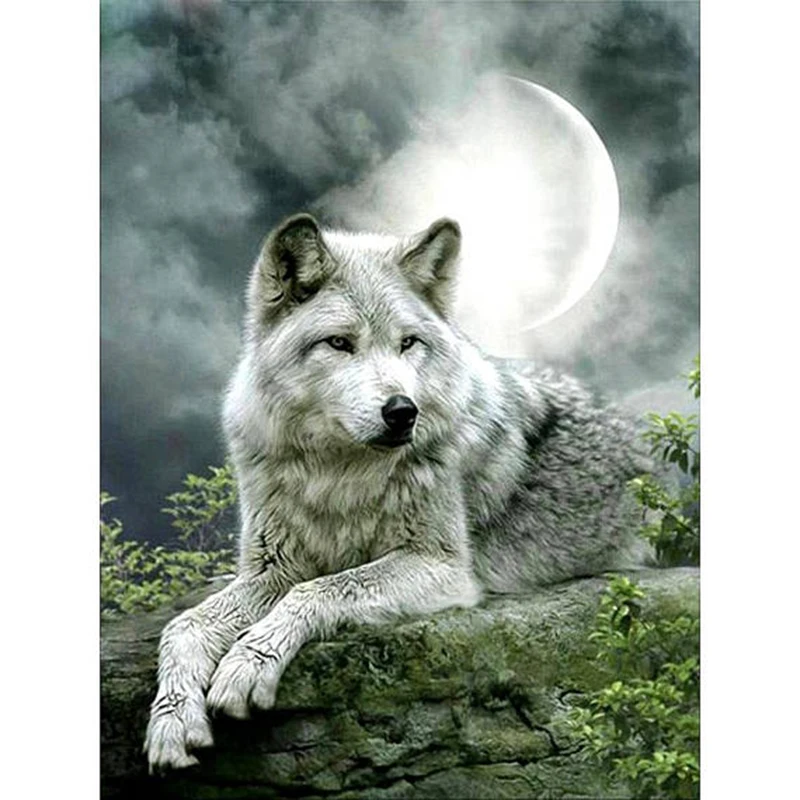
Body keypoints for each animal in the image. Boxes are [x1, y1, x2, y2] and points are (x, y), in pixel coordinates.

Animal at [144, 213, 652, 771]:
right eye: (340, 343)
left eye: (408, 343)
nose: (403, 411)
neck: (339, 474)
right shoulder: (272, 569)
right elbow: (182, 626)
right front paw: (172, 721)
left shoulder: (441, 567)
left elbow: (320, 590)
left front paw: (246, 663)